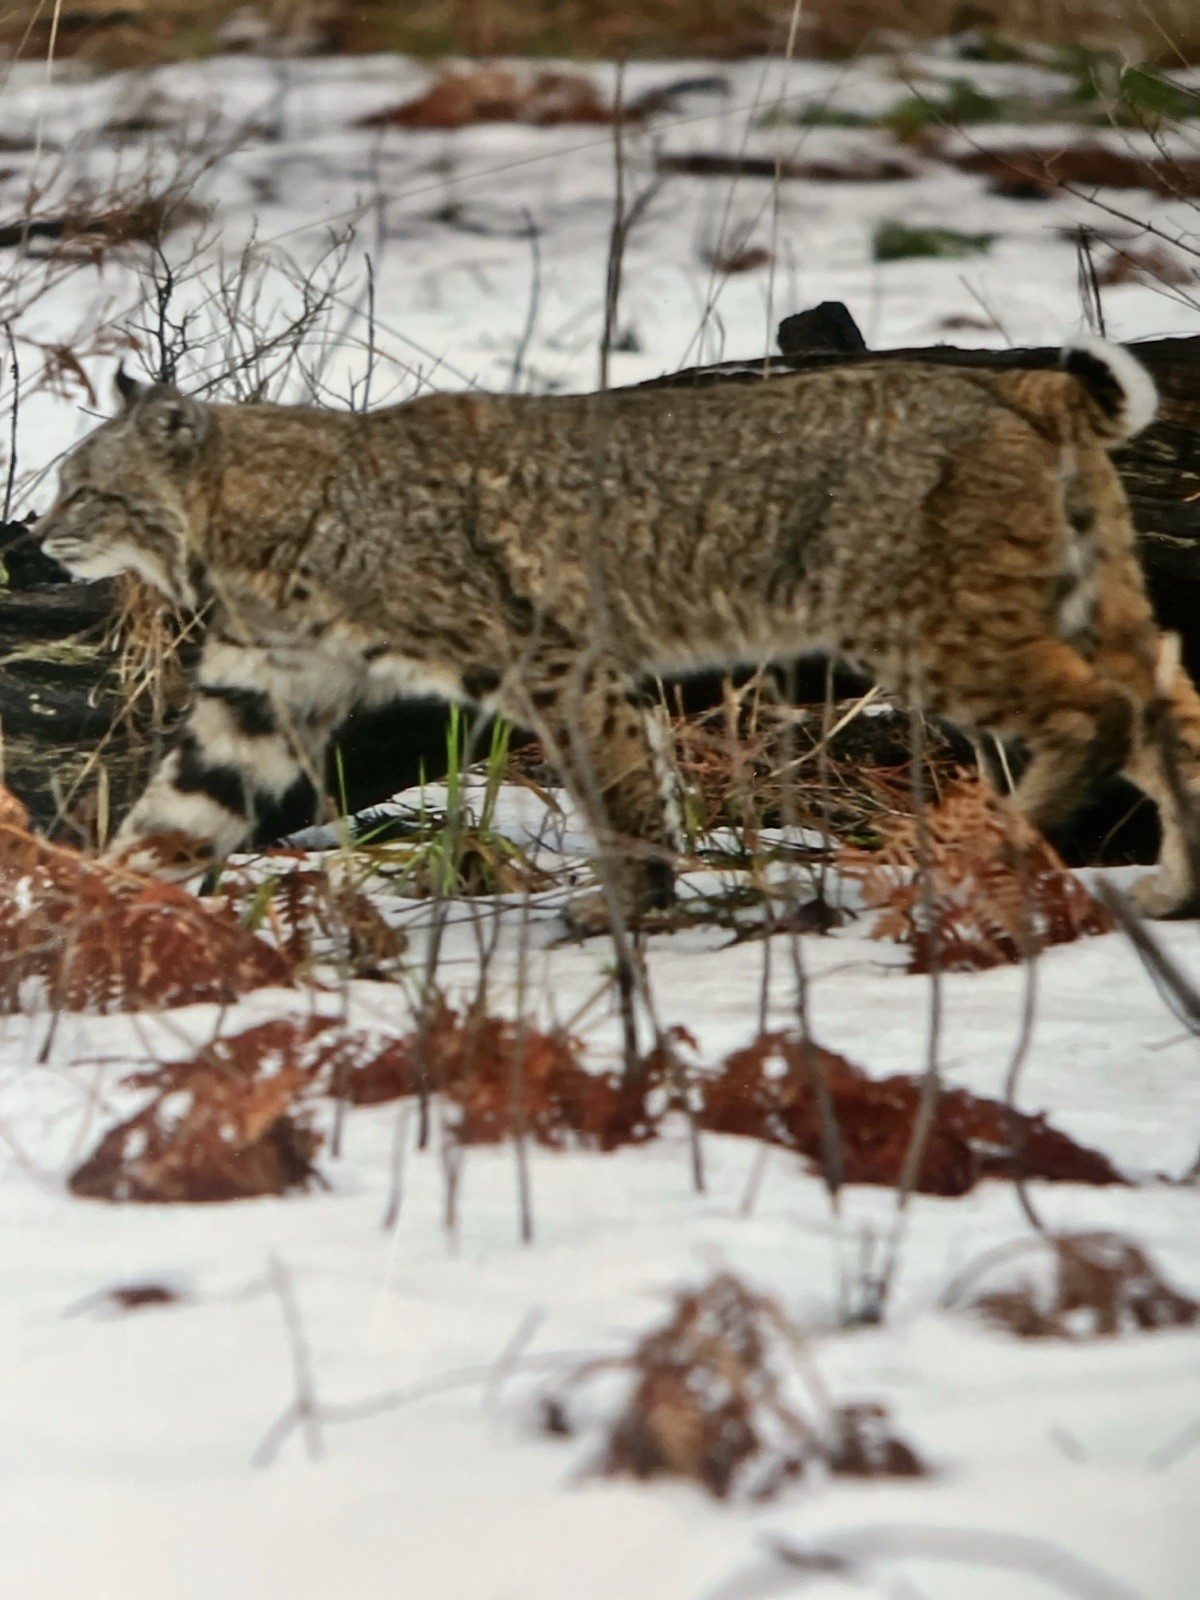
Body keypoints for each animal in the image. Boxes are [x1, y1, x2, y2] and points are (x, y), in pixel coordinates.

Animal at [35, 341, 1200, 921]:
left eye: (84, 490)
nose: (41, 538)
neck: (241, 522)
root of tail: (1008, 377)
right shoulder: (259, 696)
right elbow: (175, 818)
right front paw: (83, 923)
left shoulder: (556, 658)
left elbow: (615, 789)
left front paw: (632, 904)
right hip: (1070, 588)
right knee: (1165, 700)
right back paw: (1176, 887)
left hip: (917, 617)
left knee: (1094, 712)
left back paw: (985, 852)